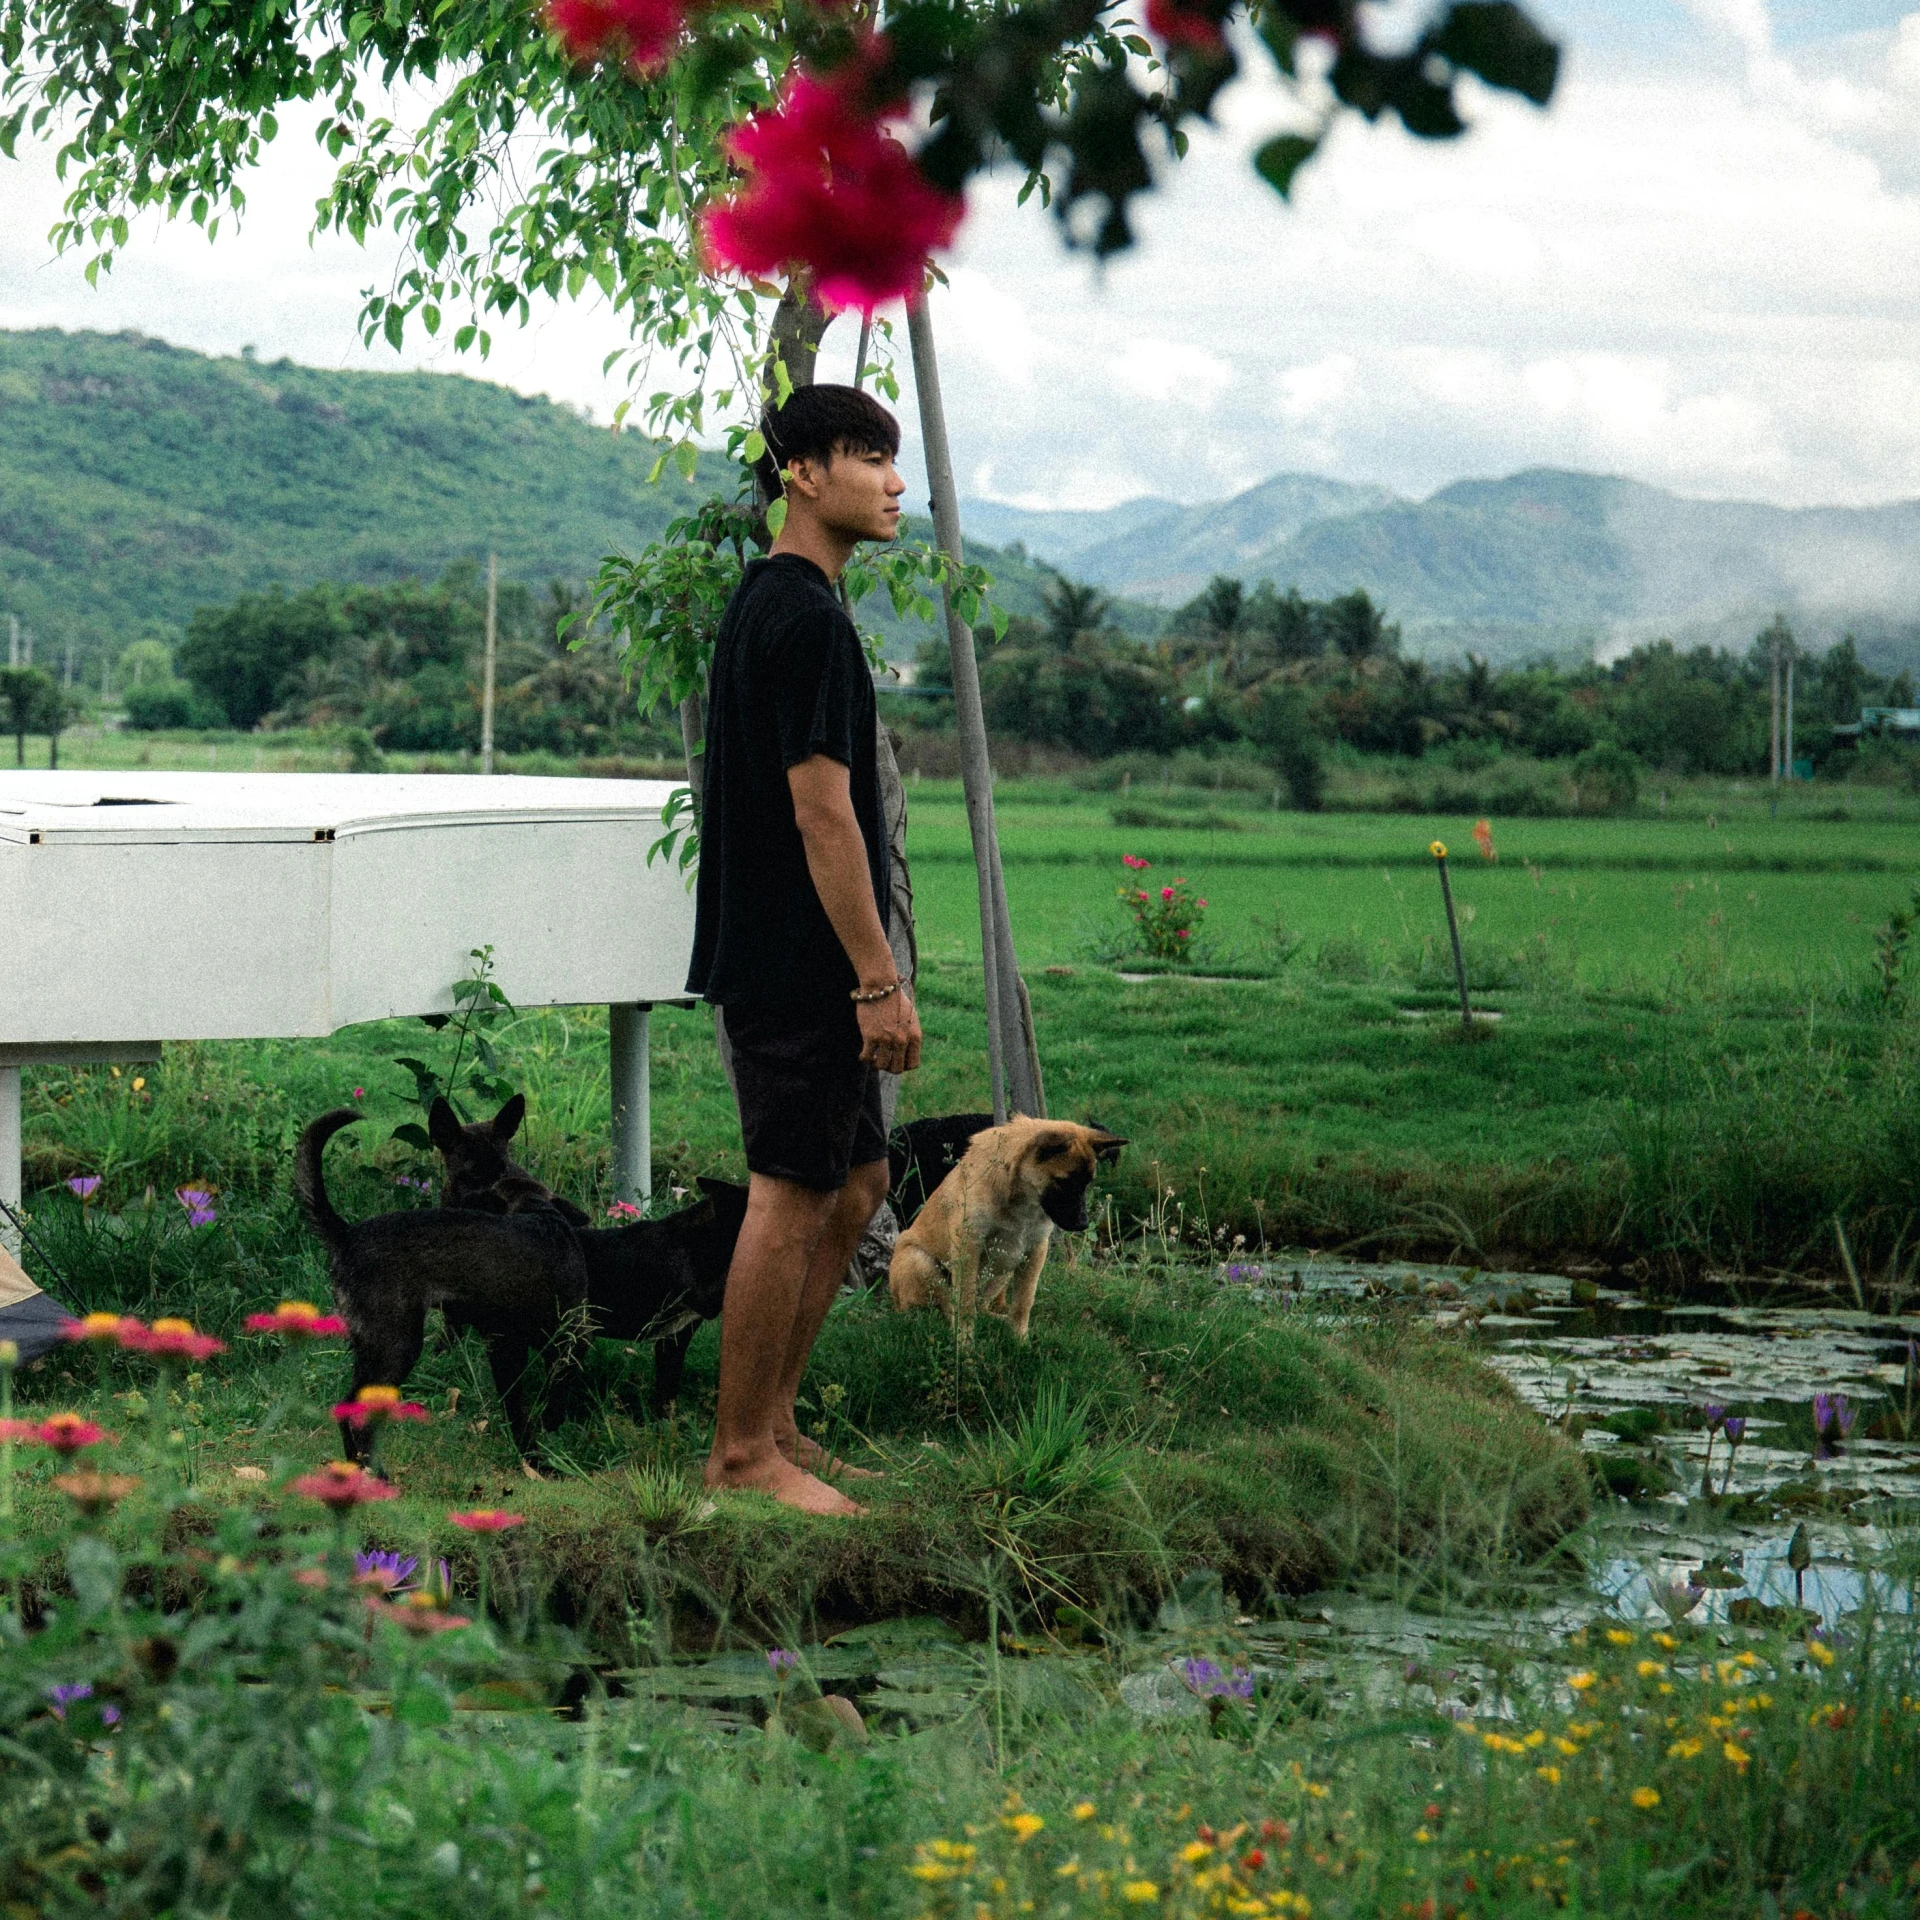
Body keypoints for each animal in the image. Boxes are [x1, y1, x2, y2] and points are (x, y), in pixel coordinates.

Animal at [887, 1121, 1121, 1344]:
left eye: (1087, 1183)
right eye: (1063, 1181)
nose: (1083, 1224)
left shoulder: (1034, 1252)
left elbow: (1023, 1303)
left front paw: (1020, 1341)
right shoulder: (969, 1248)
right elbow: (964, 1305)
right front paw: (965, 1346)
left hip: (1004, 1270)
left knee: (980, 1308)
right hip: (920, 1260)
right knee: (944, 1310)